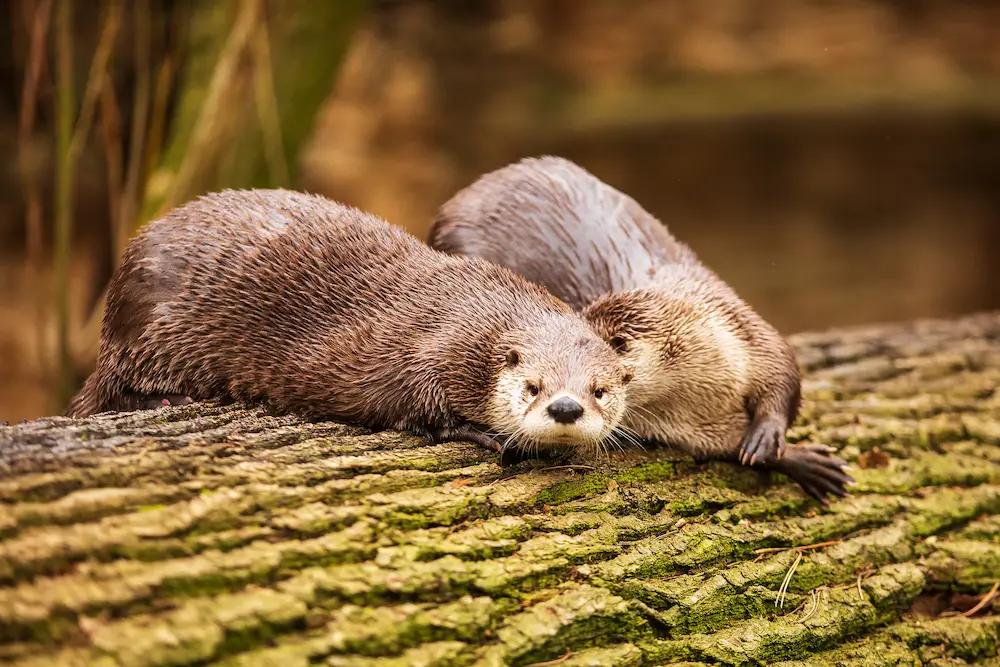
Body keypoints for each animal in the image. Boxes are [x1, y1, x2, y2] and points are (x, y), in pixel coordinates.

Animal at [66, 188, 633, 463]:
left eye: (600, 390)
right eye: (533, 386)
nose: (565, 408)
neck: (478, 311)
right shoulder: (425, 349)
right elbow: (414, 405)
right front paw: (479, 431)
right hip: (148, 325)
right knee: (110, 390)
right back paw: (170, 399)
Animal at [429, 156, 852, 501]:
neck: (708, 385)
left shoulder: (740, 325)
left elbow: (784, 371)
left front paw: (770, 437)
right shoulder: (688, 429)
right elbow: (727, 447)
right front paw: (800, 461)